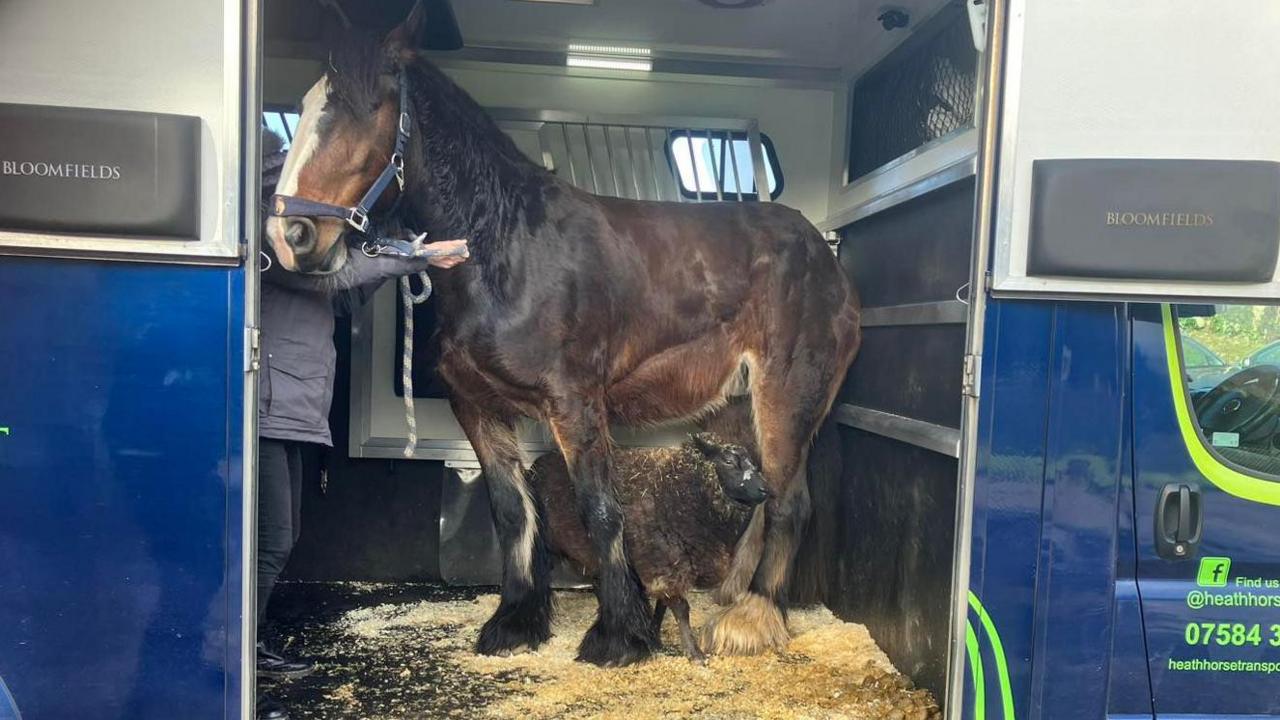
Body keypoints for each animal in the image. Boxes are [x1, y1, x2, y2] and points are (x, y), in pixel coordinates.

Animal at [529, 430, 768, 661]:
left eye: (753, 464)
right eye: (728, 461)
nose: (764, 490)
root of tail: (537, 464)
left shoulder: (668, 565)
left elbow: (662, 605)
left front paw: (654, 635)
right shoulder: (662, 562)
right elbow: (681, 608)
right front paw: (694, 652)